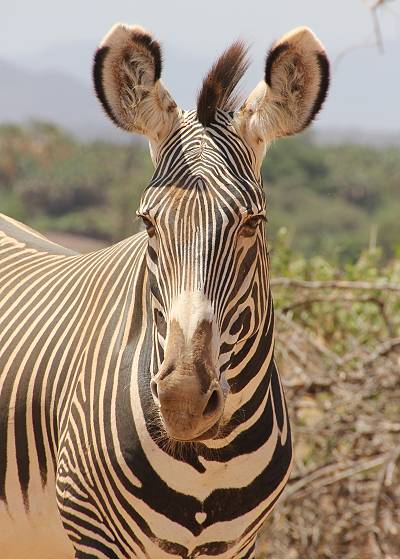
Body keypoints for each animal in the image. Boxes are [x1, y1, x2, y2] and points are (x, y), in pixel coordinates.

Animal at [0, 21, 328, 559]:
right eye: (148, 223)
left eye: (252, 223)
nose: (183, 400)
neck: (208, 459)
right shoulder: (92, 534)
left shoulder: (241, 545)